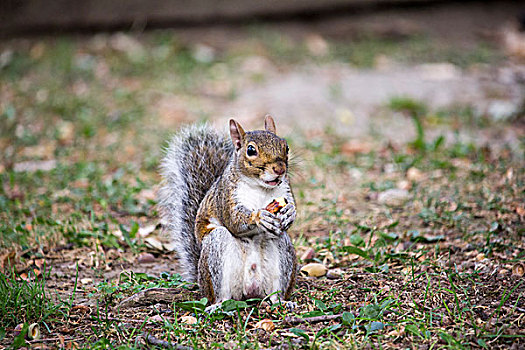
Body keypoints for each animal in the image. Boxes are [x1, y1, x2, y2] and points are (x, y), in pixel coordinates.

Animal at [158, 115, 296, 308]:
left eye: (286, 146)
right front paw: (259, 217)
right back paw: (217, 305)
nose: (280, 169)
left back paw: (282, 301)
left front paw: (290, 212)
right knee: (220, 294)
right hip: (216, 248)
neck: (261, 188)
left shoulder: (285, 191)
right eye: (251, 150)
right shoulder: (226, 197)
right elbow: (234, 220)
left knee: (276, 291)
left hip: (282, 248)